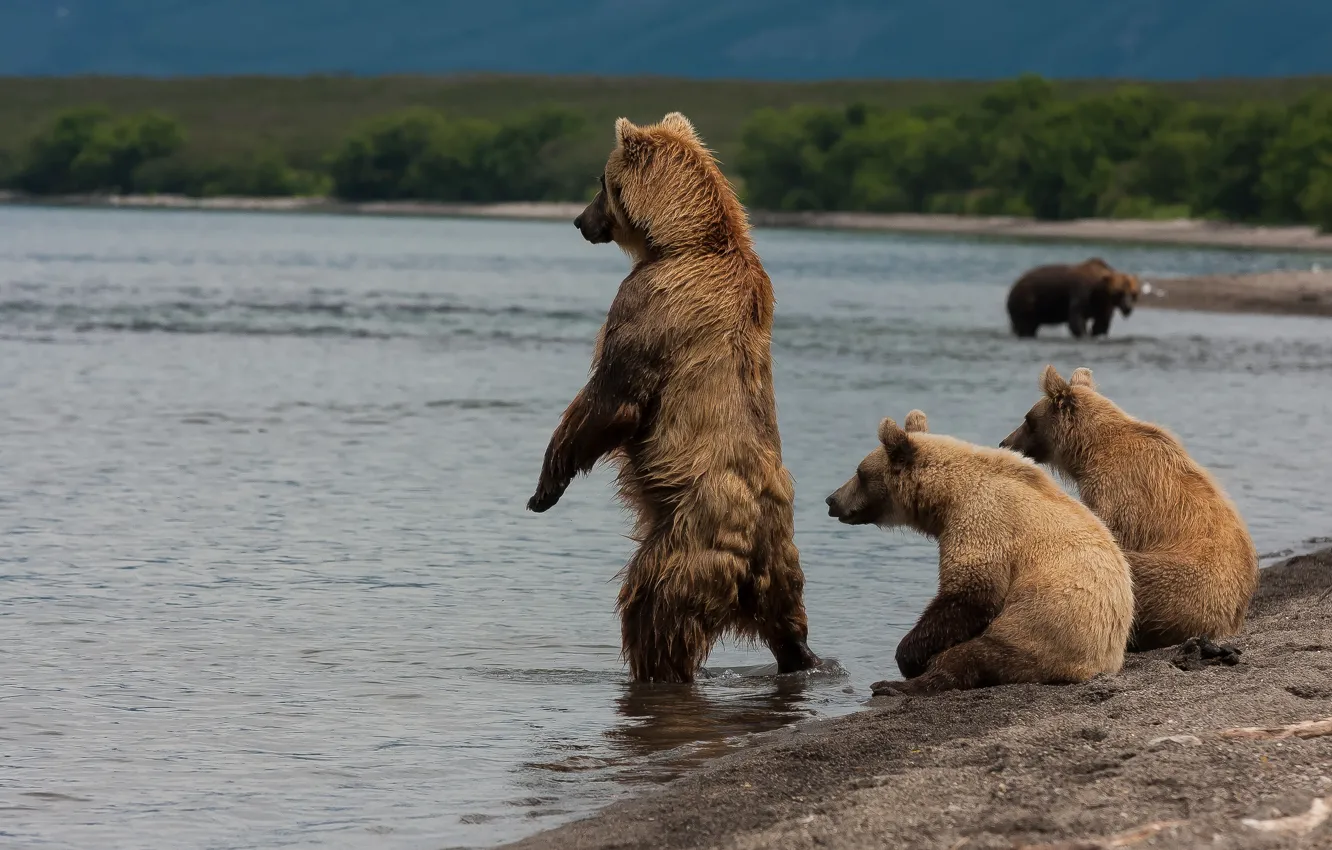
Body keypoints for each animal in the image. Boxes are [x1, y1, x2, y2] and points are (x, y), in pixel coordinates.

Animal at [1006, 258, 1145, 341]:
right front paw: (1084, 334)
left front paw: (1097, 333)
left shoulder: (1104, 305)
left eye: (1134, 293)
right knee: (1026, 326)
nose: (1128, 308)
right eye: (1119, 292)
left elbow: (1101, 323)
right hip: (1027, 301)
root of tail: (1014, 286)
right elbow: (1076, 319)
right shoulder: (1081, 292)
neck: (1099, 292)